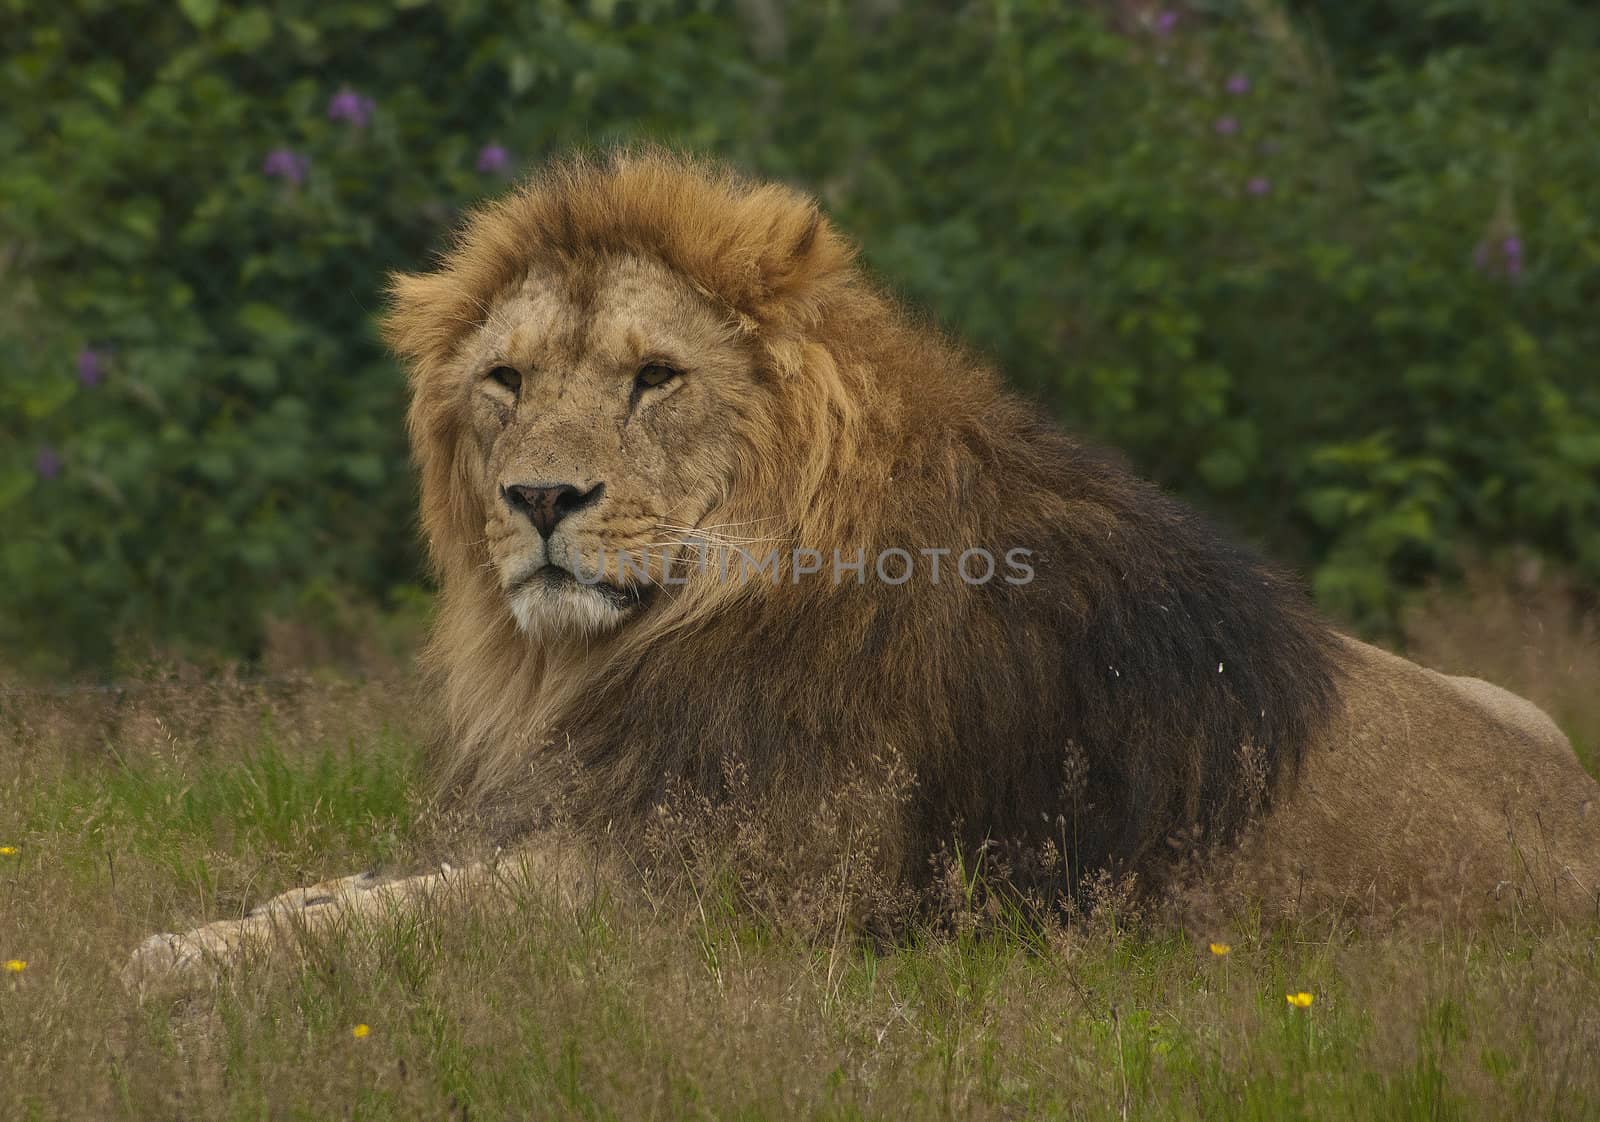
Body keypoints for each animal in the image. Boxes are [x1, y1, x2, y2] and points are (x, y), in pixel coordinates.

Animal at [128, 155, 1600, 979]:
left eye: (654, 378)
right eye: (507, 380)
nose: (541, 497)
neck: (628, 640)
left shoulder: (703, 900)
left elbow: (388, 926)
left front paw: (170, 961)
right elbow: (348, 891)